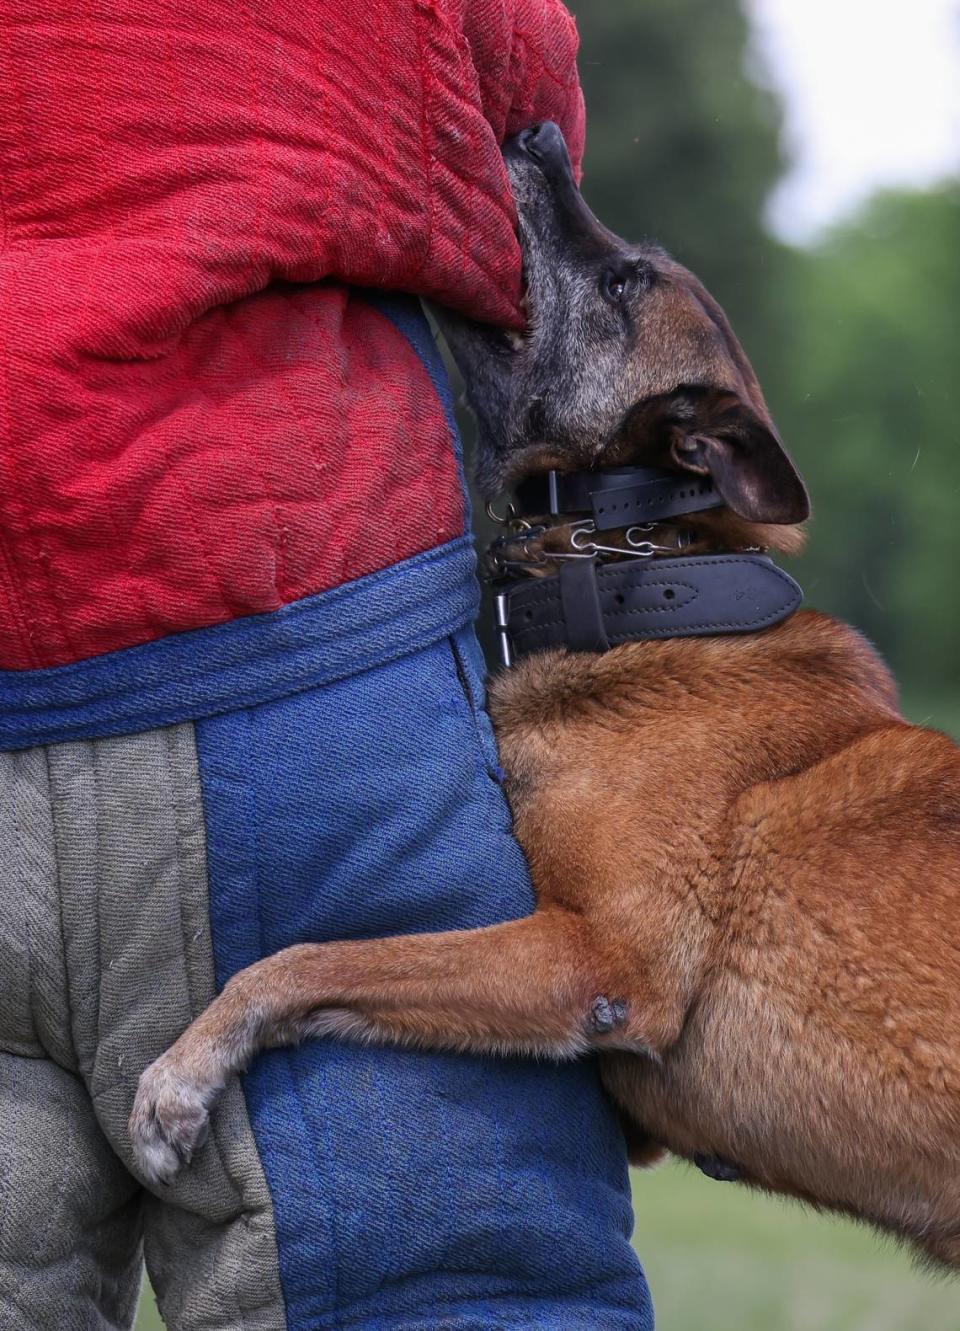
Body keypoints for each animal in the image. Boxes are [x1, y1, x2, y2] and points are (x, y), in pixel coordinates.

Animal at [129, 129, 958, 1272]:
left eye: (622, 282)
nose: (537, 137)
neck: (648, 591)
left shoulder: (598, 960)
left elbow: (309, 955)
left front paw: (180, 1076)